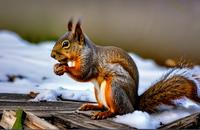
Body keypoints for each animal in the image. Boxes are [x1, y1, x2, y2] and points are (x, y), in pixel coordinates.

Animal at [50, 19, 200, 120]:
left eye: (66, 44)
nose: (52, 55)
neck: (82, 52)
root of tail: (134, 106)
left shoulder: (90, 62)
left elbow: (82, 74)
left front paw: (64, 67)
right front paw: (57, 67)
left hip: (114, 89)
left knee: (118, 111)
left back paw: (104, 113)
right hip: (98, 91)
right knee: (103, 105)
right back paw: (91, 106)